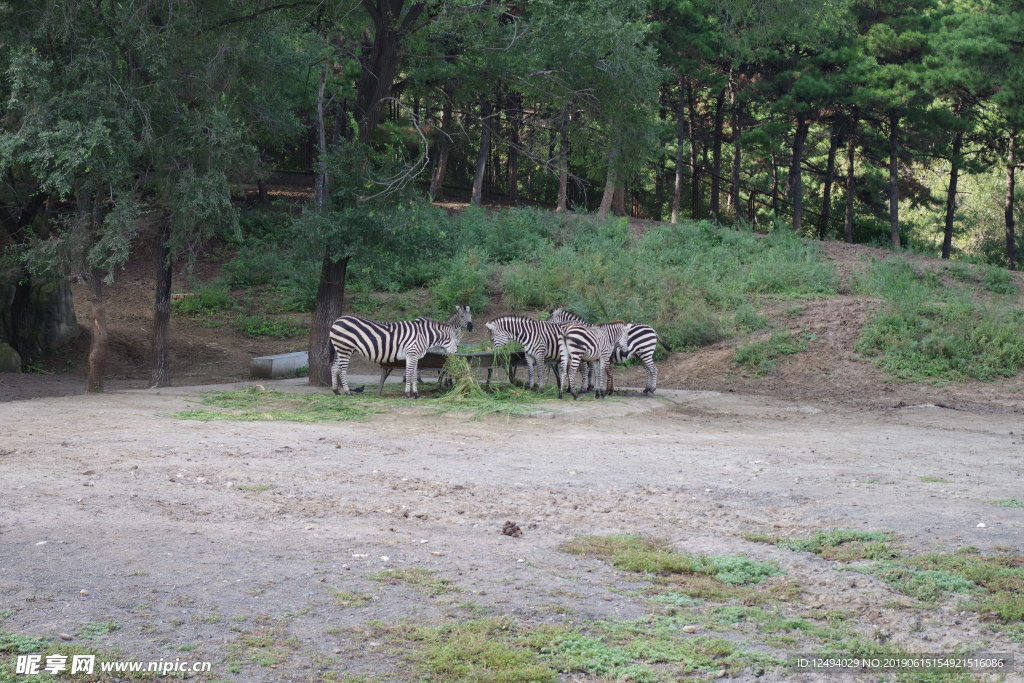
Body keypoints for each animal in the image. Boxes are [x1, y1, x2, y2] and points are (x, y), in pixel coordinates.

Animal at [327, 313, 460, 395]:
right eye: (456, 342)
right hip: (345, 348)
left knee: (334, 368)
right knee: (342, 370)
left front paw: (415, 393)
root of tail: (338, 320)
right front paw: (408, 393)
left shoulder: (415, 356)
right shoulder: (411, 353)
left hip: (340, 349)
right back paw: (347, 391)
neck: (424, 335)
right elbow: (409, 373)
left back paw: (336, 391)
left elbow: (413, 374)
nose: (456, 355)